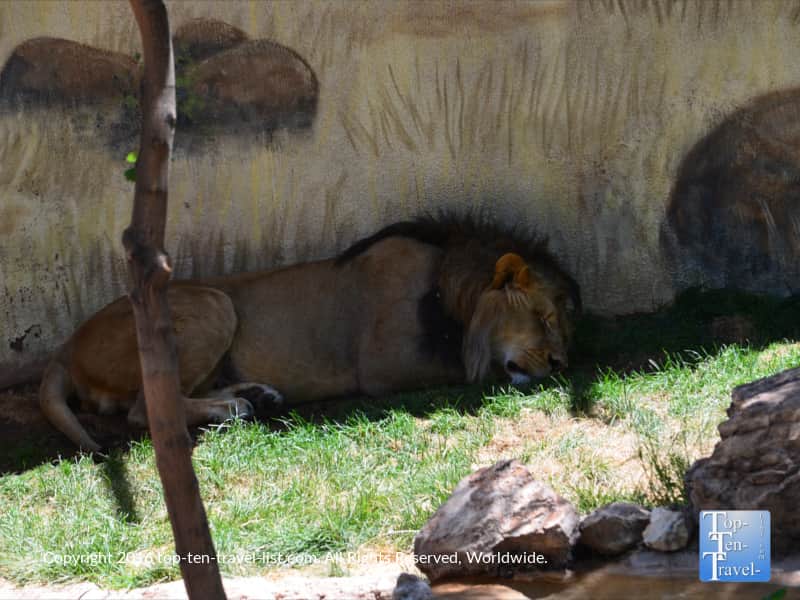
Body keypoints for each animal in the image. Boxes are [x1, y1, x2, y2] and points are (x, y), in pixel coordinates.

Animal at [40, 215, 581, 451]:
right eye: (544, 318)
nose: (561, 365)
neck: (452, 293)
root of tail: (64, 348)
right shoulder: (386, 367)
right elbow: (470, 371)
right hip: (212, 303)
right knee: (143, 409)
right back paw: (233, 408)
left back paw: (254, 395)